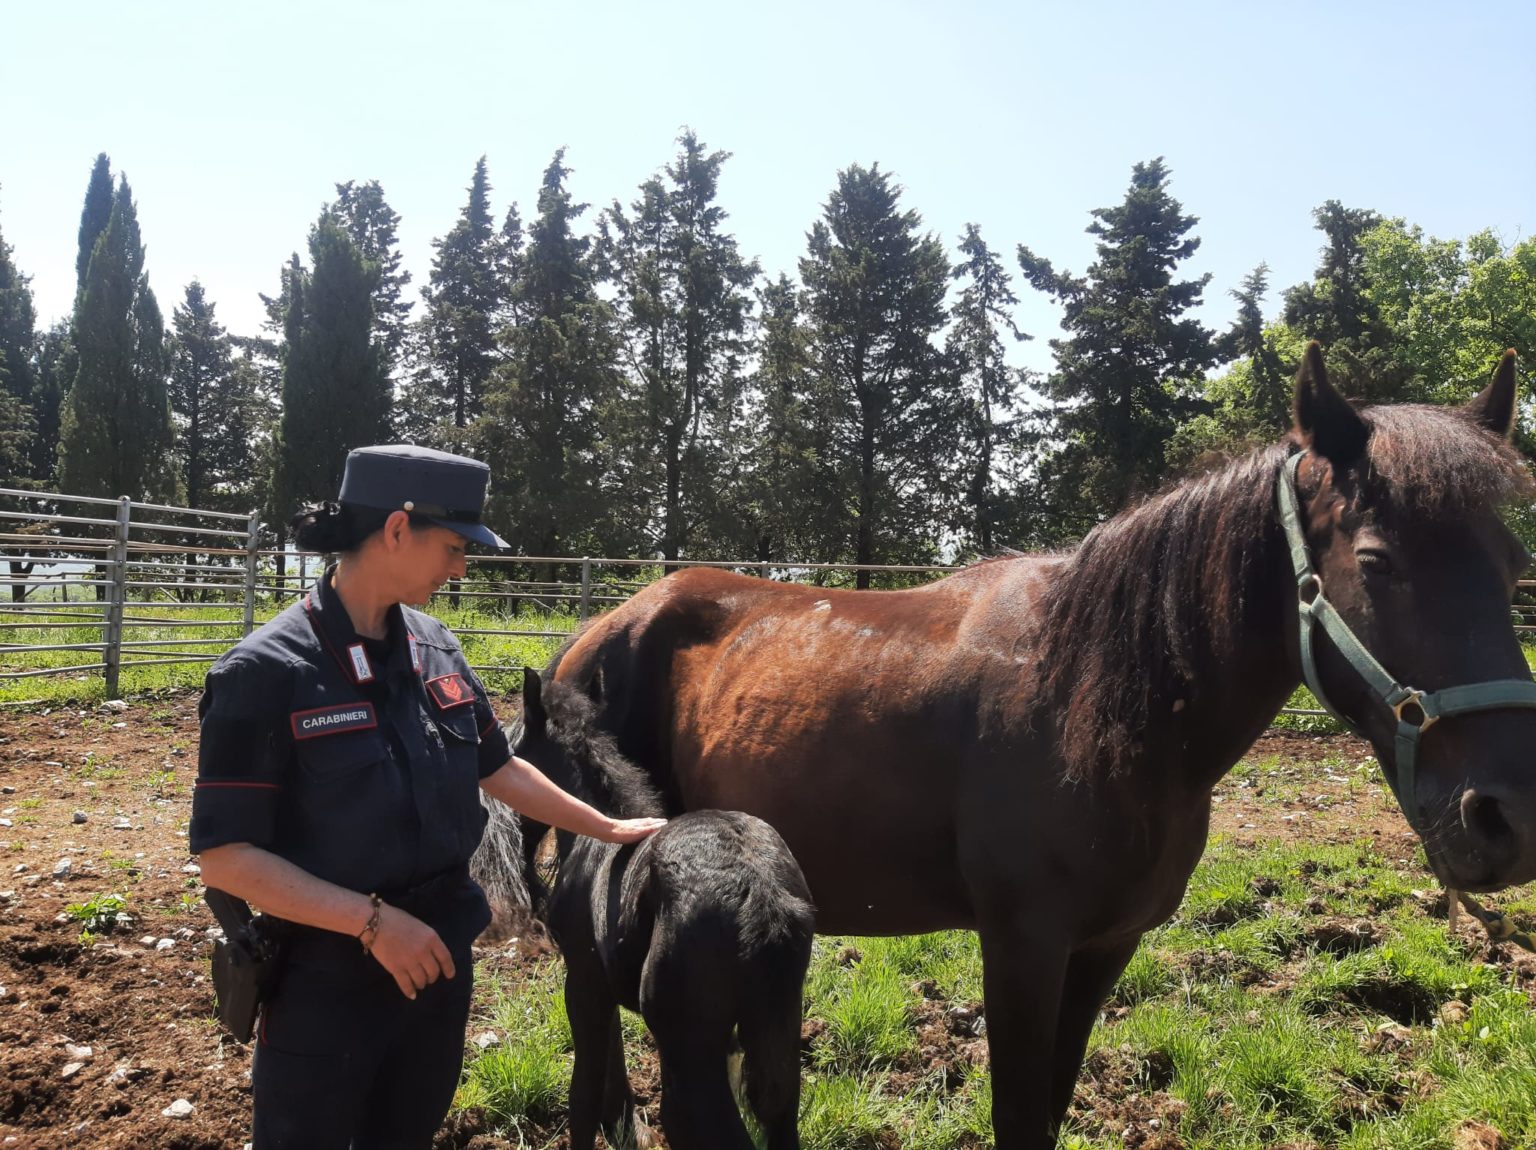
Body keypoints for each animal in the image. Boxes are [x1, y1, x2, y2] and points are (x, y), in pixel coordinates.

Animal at [485, 345, 1536, 1142]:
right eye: (1377, 561)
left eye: (1512, 563)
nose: (1506, 817)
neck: (1099, 705)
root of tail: (606, 623)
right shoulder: (1022, 947)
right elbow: (1018, 1115)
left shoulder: (1104, 948)